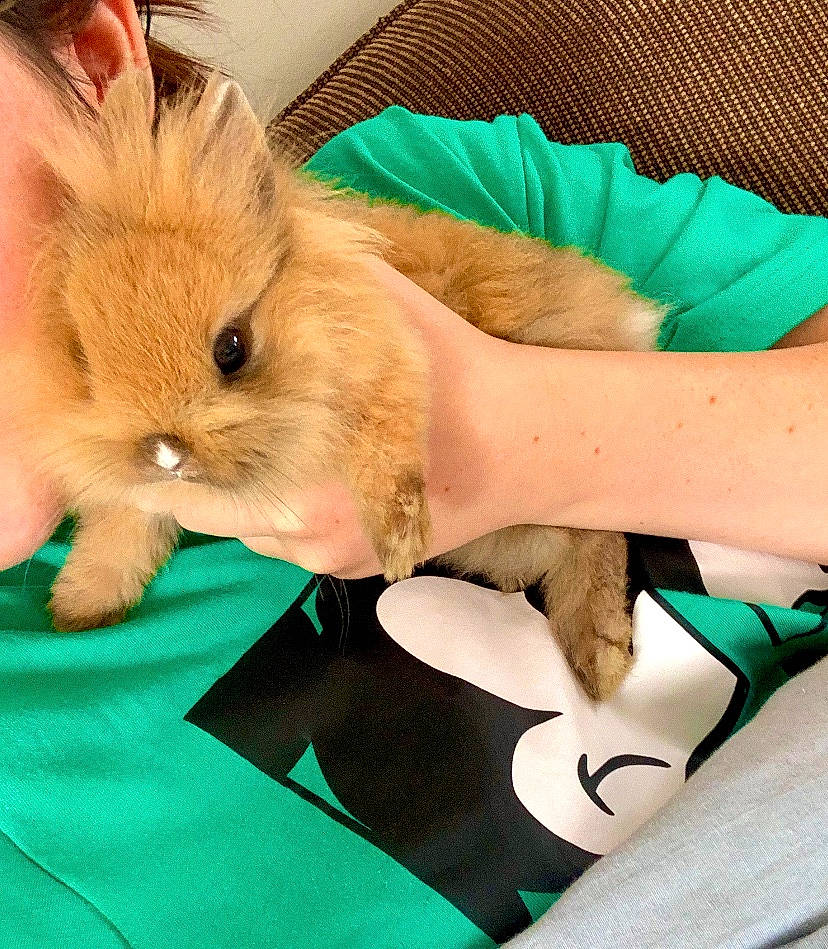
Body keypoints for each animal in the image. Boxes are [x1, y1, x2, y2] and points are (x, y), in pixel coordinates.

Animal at [18, 72, 663, 700]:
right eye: (83, 361)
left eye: (232, 349)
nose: (166, 455)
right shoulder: (134, 498)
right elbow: (122, 529)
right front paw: (77, 609)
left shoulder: (388, 356)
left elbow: (385, 444)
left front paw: (400, 546)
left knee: (601, 537)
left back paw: (601, 659)